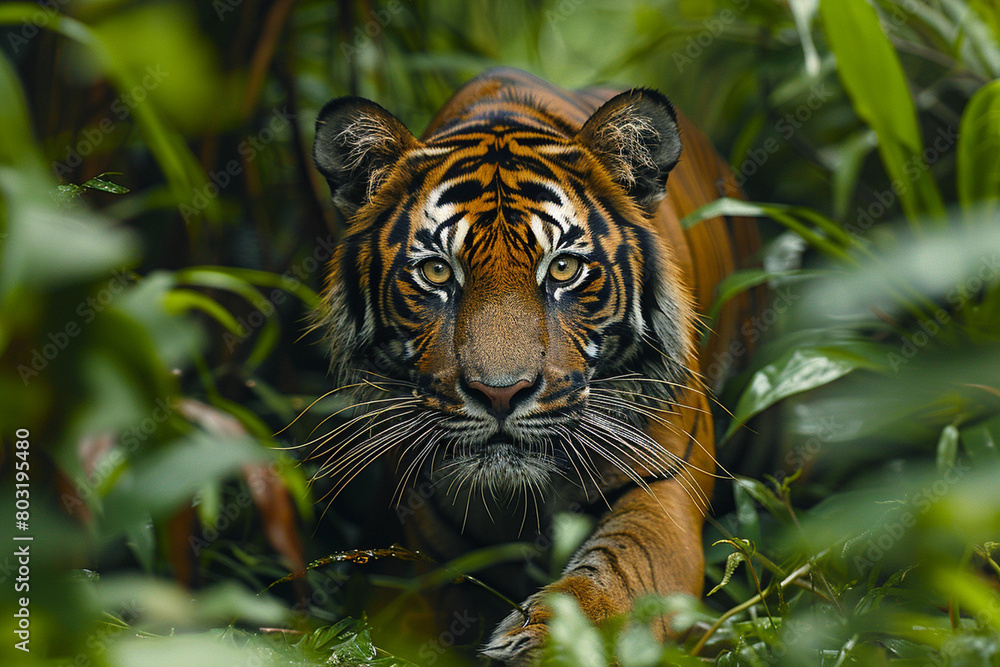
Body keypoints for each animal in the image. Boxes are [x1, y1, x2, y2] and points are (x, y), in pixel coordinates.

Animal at [310, 67, 758, 664]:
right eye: (436, 271)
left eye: (564, 268)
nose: (501, 393)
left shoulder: (663, 483)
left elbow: (622, 571)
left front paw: (551, 642)